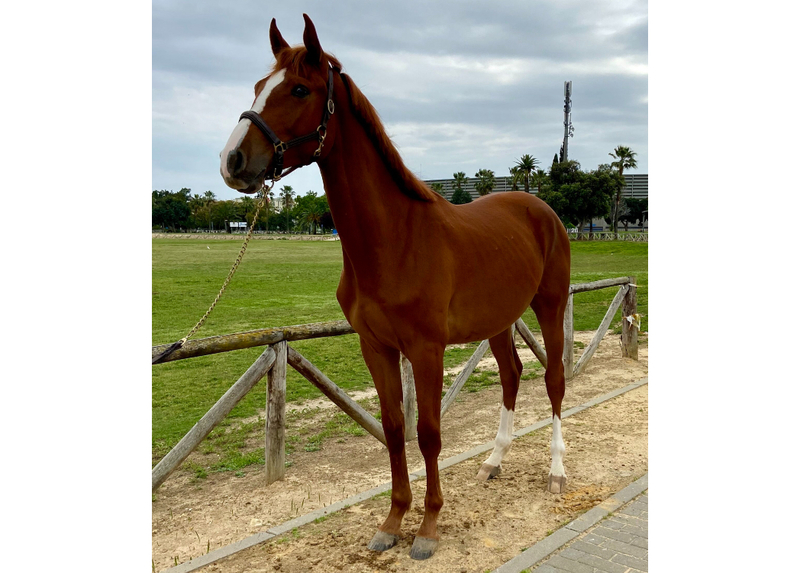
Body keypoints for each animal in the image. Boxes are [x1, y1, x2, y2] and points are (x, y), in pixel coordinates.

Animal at [220, 14, 571, 560]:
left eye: (299, 89)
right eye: (259, 86)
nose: (233, 160)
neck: (395, 239)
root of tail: (541, 208)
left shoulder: (425, 350)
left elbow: (428, 434)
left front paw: (428, 527)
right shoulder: (376, 347)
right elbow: (392, 429)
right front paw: (392, 521)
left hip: (550, 305)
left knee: (554, 379)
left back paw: (556, 471)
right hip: (500, 318)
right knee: (512, 376)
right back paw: (493, 462)